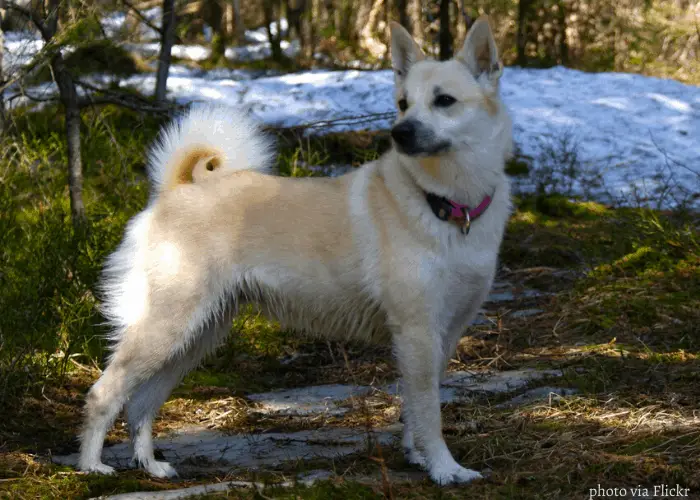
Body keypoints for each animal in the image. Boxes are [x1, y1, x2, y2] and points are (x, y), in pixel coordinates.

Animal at [78, 16, 516, 484]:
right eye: (403, 104)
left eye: (444, 101)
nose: (400, 133)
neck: (444, 203)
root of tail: (174, 190)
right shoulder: (417, 333)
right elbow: (430, 413)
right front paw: (446, 469)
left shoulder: (443, 335)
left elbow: (416, 410)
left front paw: (417, 456)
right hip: (166, 328)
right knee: (104, 393)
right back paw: (91, 465)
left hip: (194, 337)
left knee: (142, 404)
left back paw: (150, 465)